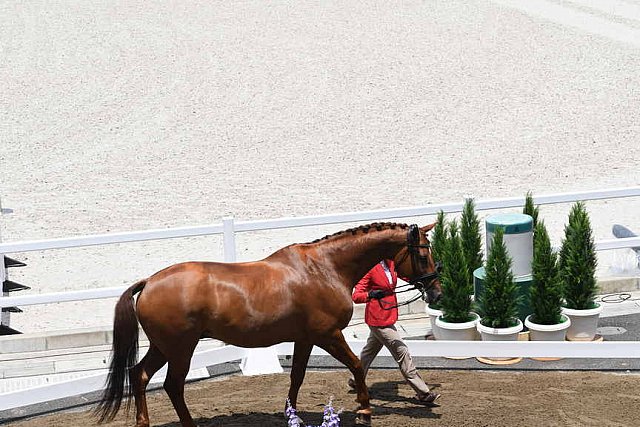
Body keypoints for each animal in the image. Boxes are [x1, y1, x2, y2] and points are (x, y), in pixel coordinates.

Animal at [95, 222, 442, 426]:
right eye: (423, 253)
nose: (436, 291)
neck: (325, 268)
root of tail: (149, 281)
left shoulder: (305, 338)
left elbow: (297, 377)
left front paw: (291, 414)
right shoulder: (329, 335)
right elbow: (357, 365)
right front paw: (364, 410)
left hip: (163, 346)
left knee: (139, 375)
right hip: (181, 348)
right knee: (172, 385)